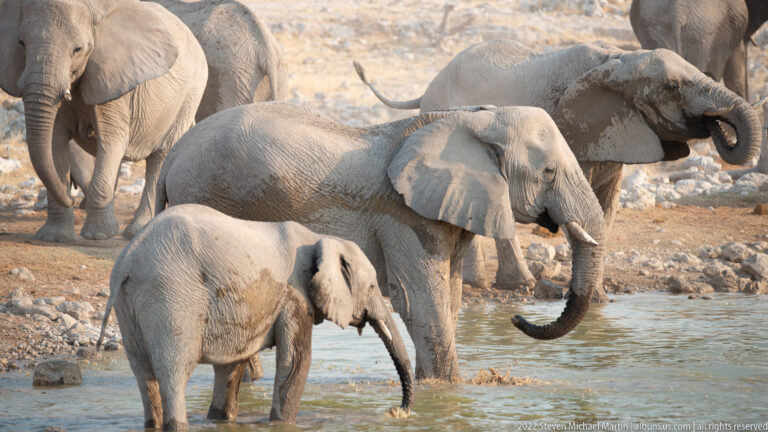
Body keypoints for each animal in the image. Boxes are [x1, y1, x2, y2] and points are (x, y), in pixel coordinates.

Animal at [0, 0, 208, 241]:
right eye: (21, 43)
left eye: (78, 49)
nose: (71, 198)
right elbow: (54, 142)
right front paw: (55, 237)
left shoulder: (114, 79)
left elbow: (112, 139)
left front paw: (98, 236)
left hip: (189, 97)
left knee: (160, 156)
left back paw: (134, 231)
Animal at [97, 204, 414, 430]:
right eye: (372, 287)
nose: (397, 411)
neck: (318, 238)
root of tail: (128, 257)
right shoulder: (294, 295)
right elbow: (295, 362)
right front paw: (281, 424)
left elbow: (233, 363)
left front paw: (222, 421)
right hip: (171, 296)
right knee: (174, 372)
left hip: (129, 303)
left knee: (144, 374)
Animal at [155, 102, 607, 382]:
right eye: (549, 172)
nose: (515, 317)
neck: (474, 118)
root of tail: (173, 156)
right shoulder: (403, 216)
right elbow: (420, 300)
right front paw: (446, 390)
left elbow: (450, 297)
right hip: (212, 199)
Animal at [353, 40, 762, 296]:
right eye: (673, 87)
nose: (715, 123)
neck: (619, 57)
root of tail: (427, 86)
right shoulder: (572, 130)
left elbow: (605, 209)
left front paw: (597, 300)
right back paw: (514, 285)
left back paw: (486, 284)